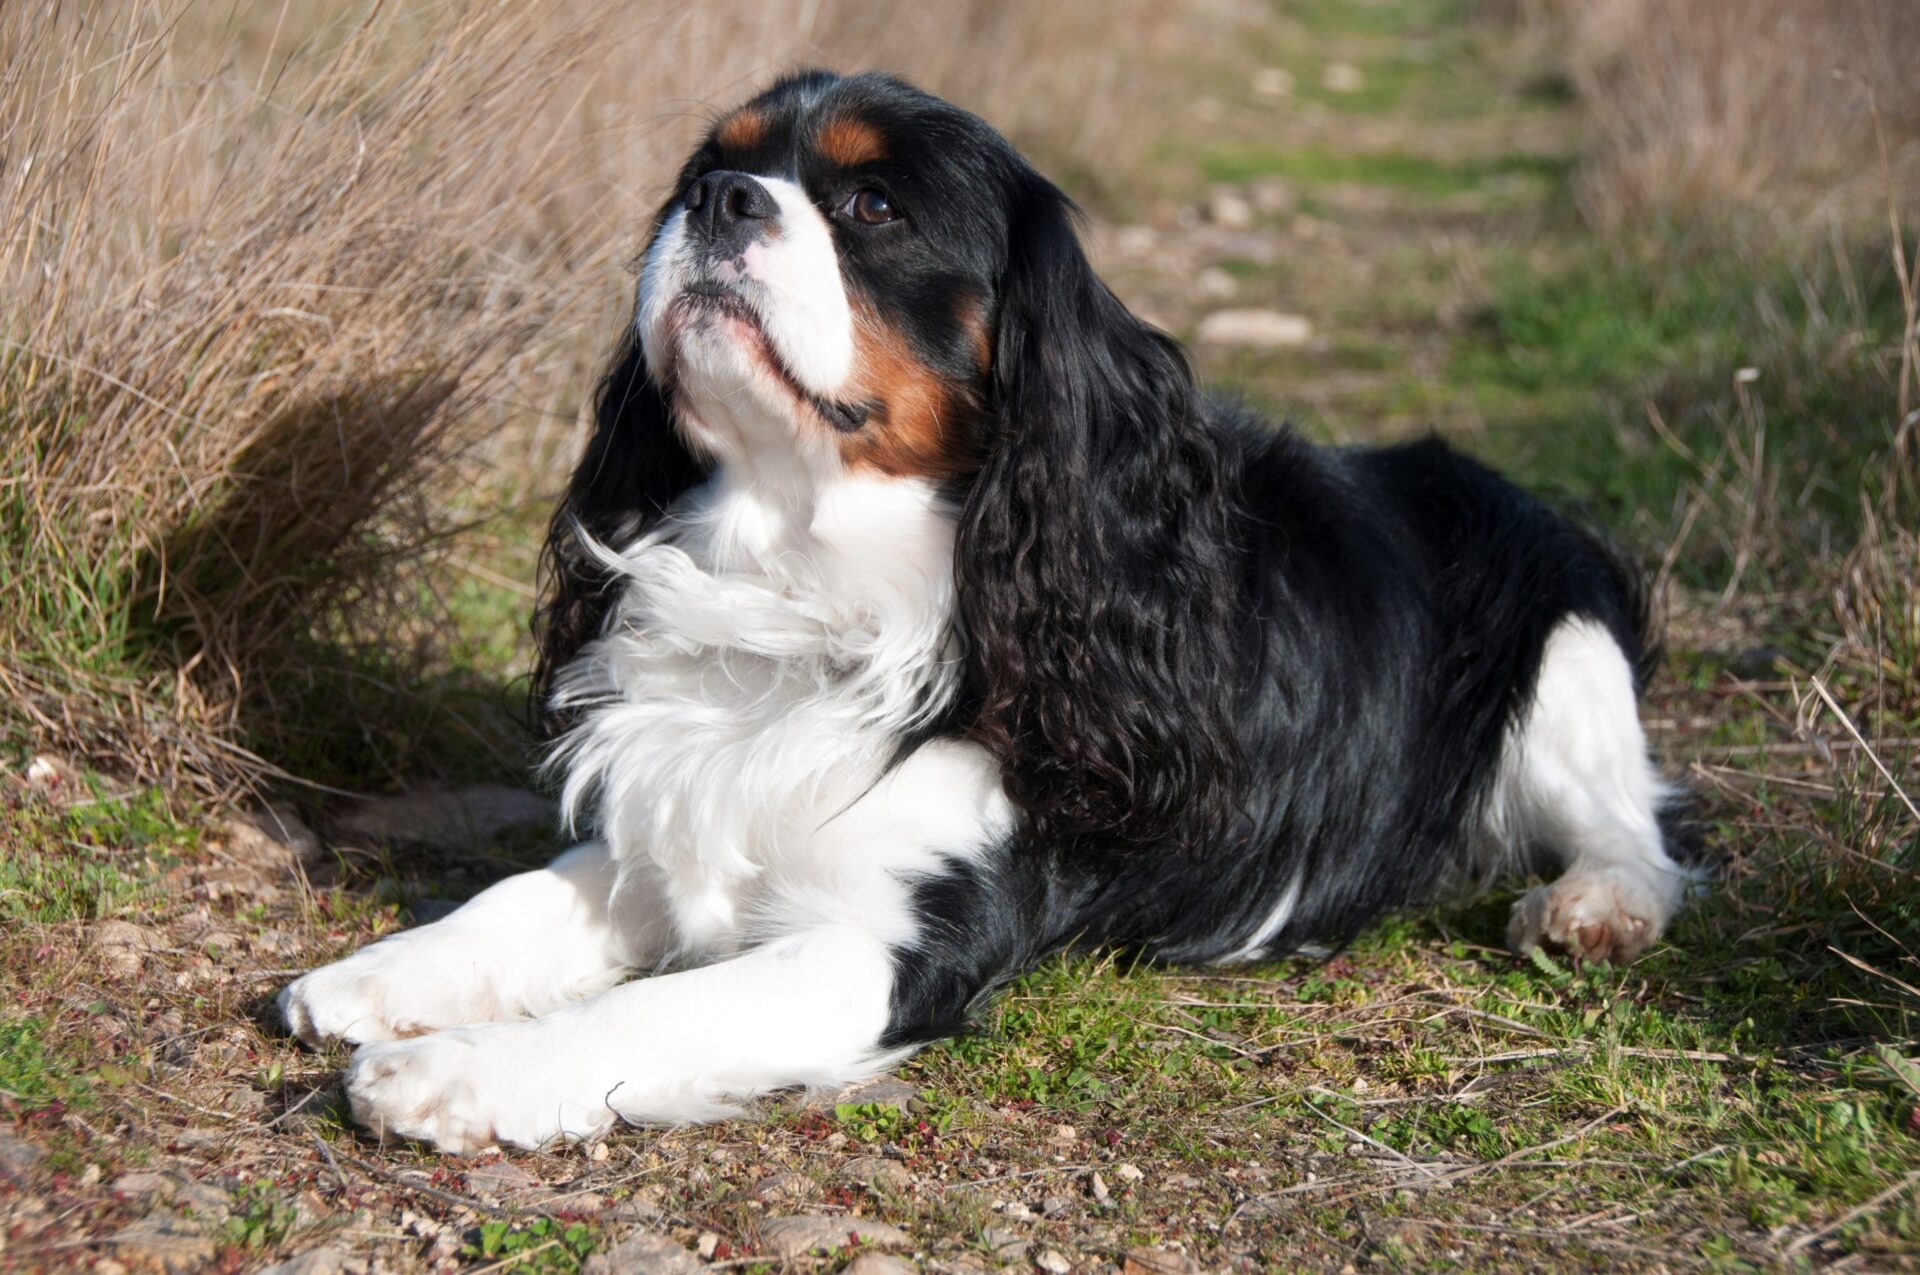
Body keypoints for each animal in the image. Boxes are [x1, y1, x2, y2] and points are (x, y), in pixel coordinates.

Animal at [274, 64, 1697, 1152]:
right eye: (705, 169)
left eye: (871, 205)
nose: (717, 200)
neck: (809, 573)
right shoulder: (688, 808)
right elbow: (528, 891)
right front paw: (380, 978)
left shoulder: (888, 947)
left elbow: (654, 1011)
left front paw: (456, 1072)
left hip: (1568, 661)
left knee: (1634, 827)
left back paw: (1592, 910)